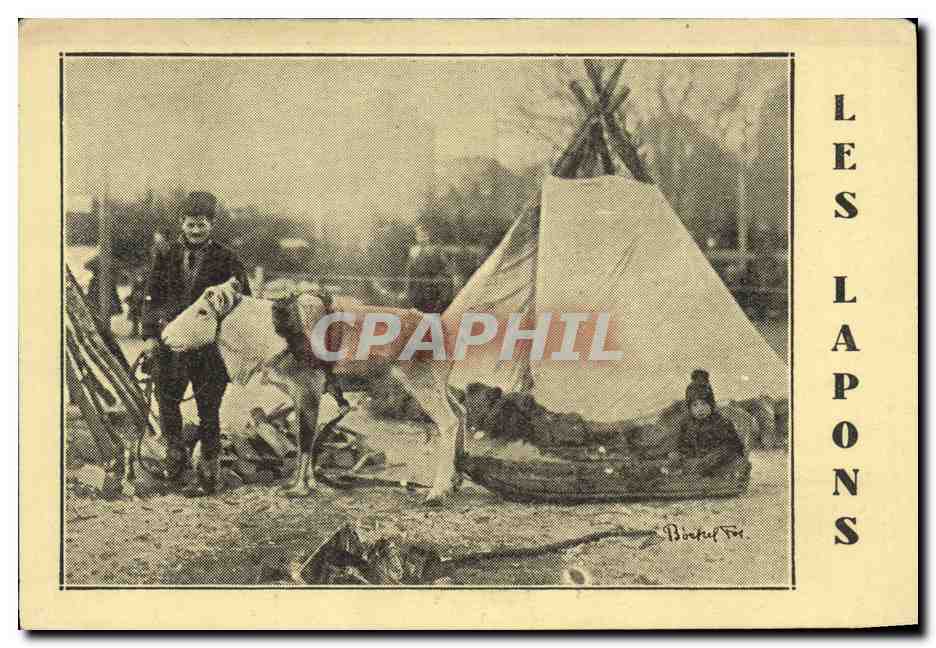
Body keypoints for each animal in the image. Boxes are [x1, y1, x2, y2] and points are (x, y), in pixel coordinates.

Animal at [160, 277, 463, 504]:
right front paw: (305, 482)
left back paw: (437, 492)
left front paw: (301, 487)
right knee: (461, 411)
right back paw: (455, 480)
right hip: (439, 386)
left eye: (202, 311)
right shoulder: (299, 395)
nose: (164, 336)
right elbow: (304, 438)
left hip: (422, 387)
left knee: (449, 422)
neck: (271, 334)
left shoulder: (308, 390)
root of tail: (443, 330)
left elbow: (306, 439)